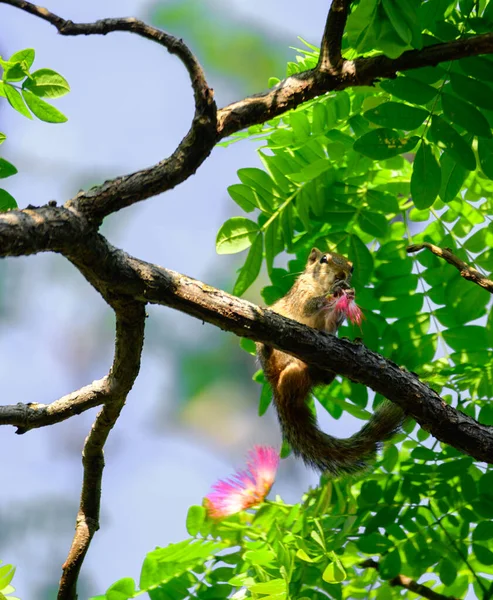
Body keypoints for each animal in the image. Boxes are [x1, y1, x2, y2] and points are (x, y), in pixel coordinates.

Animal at [256, 246, 402, 476]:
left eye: (352, 267)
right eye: (324, 259)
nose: (342, 276)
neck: (319, 285)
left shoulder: (328, 324)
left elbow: (330, 324)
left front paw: (346, 296)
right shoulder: (301, 293)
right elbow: (308, 306)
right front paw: (333, 293)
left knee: (321, 379)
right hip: (277, 366)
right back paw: (267, 348)